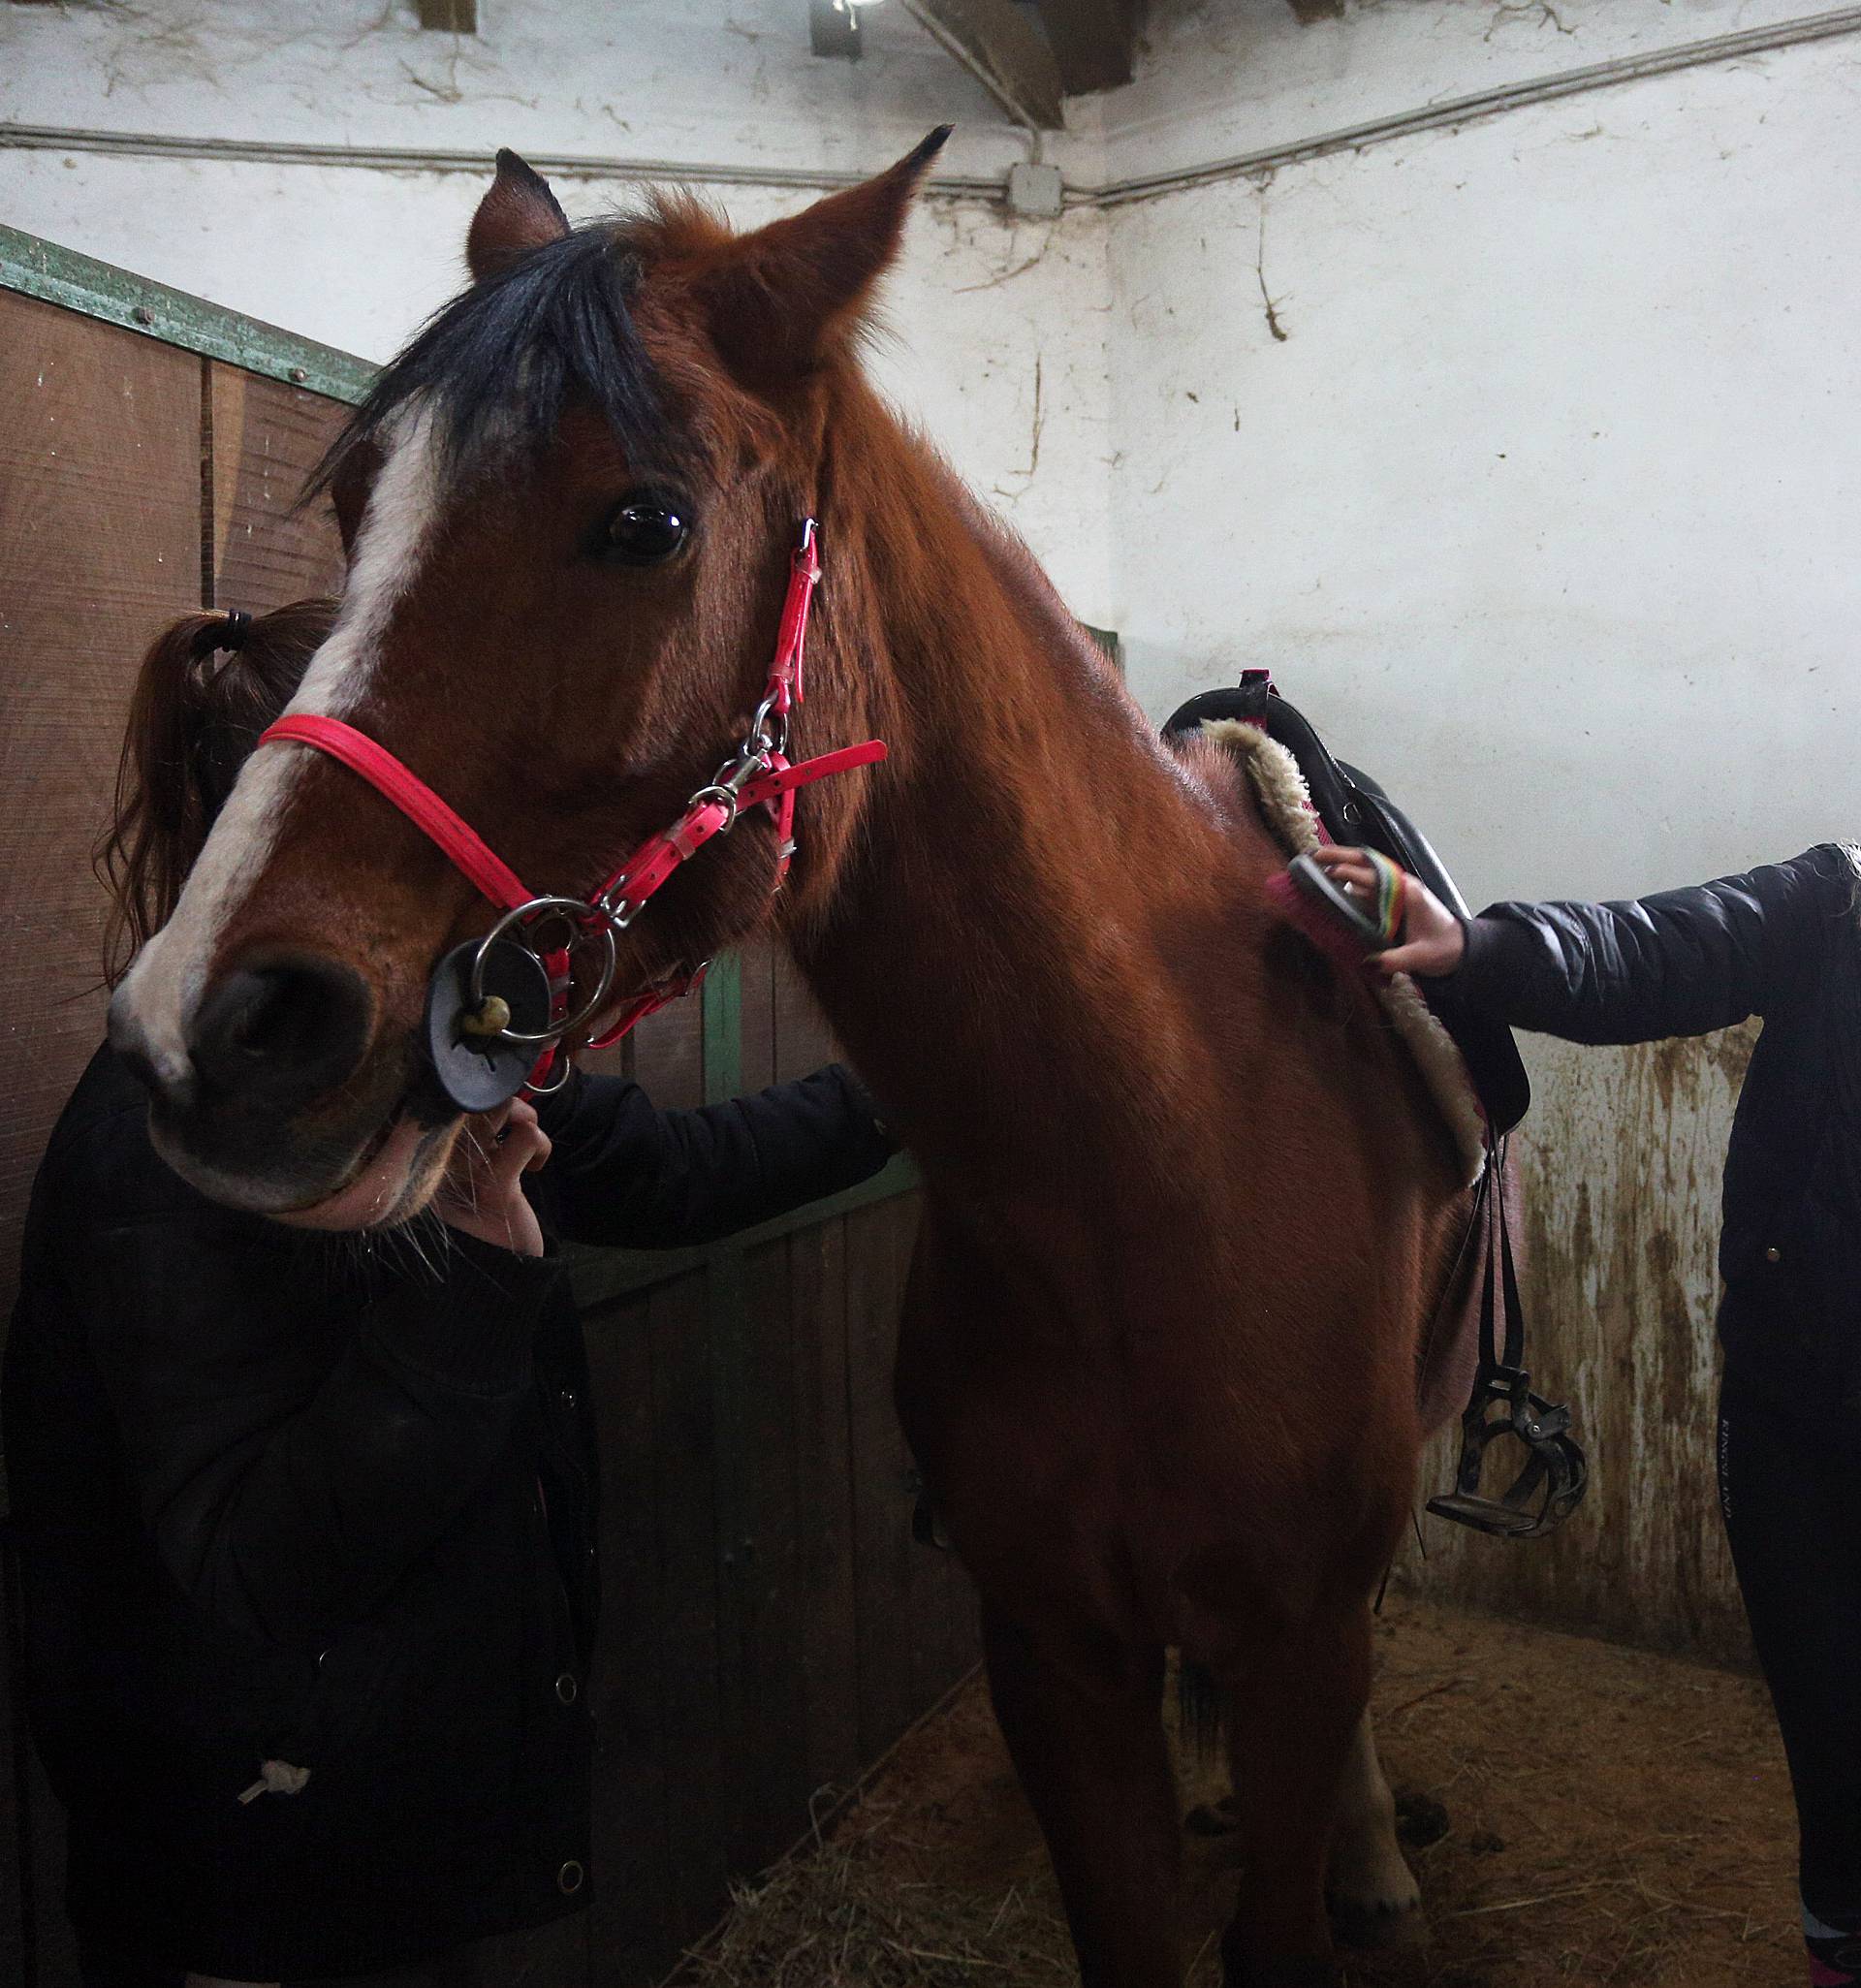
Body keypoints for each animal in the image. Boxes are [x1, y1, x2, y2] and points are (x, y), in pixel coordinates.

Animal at [112, 132, 1479, 1979]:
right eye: (356, 508)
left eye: (646, 521)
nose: (217, 1026)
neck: (1157, 1162)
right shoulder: (1052, 1650)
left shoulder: (1299, 1633)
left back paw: (1376, 1857)